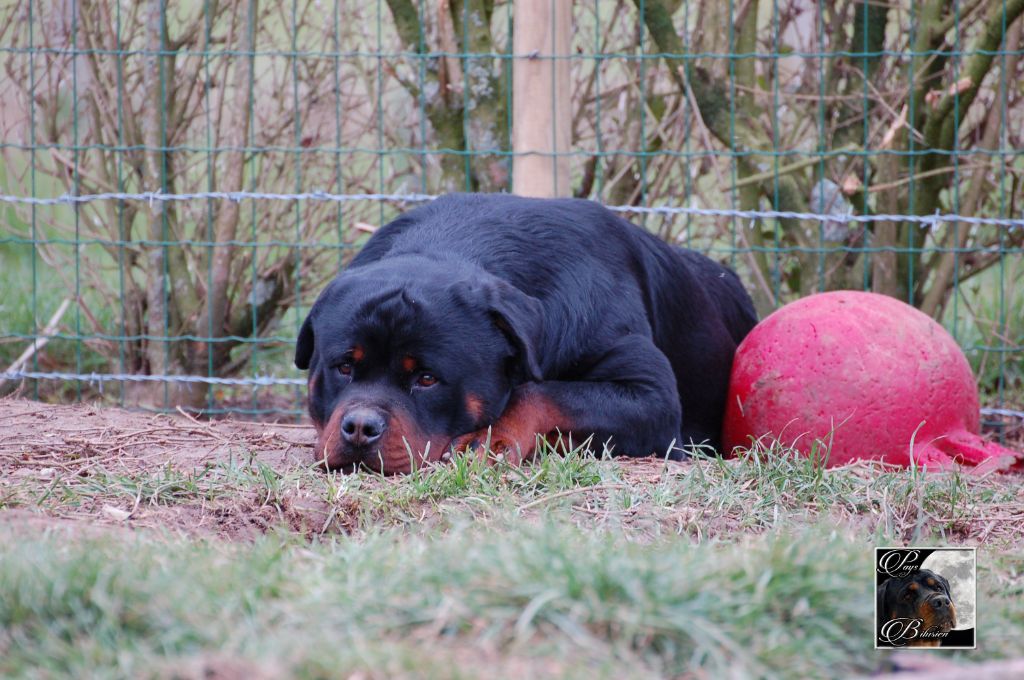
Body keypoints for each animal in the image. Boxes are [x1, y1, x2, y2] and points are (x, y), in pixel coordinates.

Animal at [292, 192, 757, 473]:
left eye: (426, 379)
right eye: (344, 367)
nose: (359, 428)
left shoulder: (652, 397)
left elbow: (544, 392)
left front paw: (490, 438)